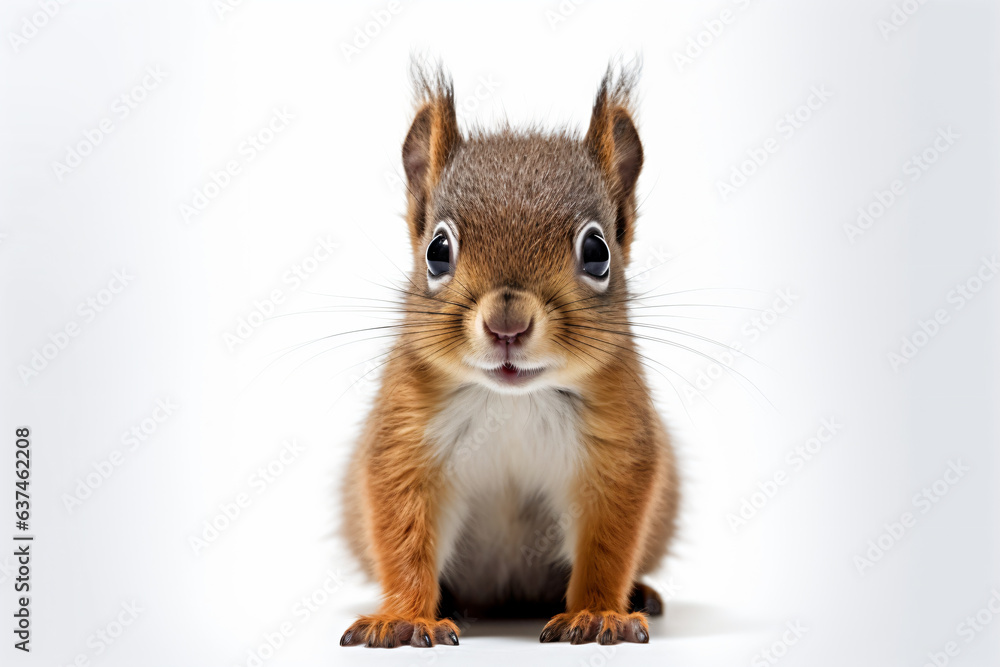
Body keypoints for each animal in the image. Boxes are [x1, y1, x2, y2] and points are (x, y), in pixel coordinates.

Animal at [338, 61, 680, 648]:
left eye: (597, 251)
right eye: (437, 250)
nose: (507, 325)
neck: (512, 401)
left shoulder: (618, 452)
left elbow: (608, 544)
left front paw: (598, 613)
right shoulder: (404, 443)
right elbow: (402, 533)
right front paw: (403, 617)